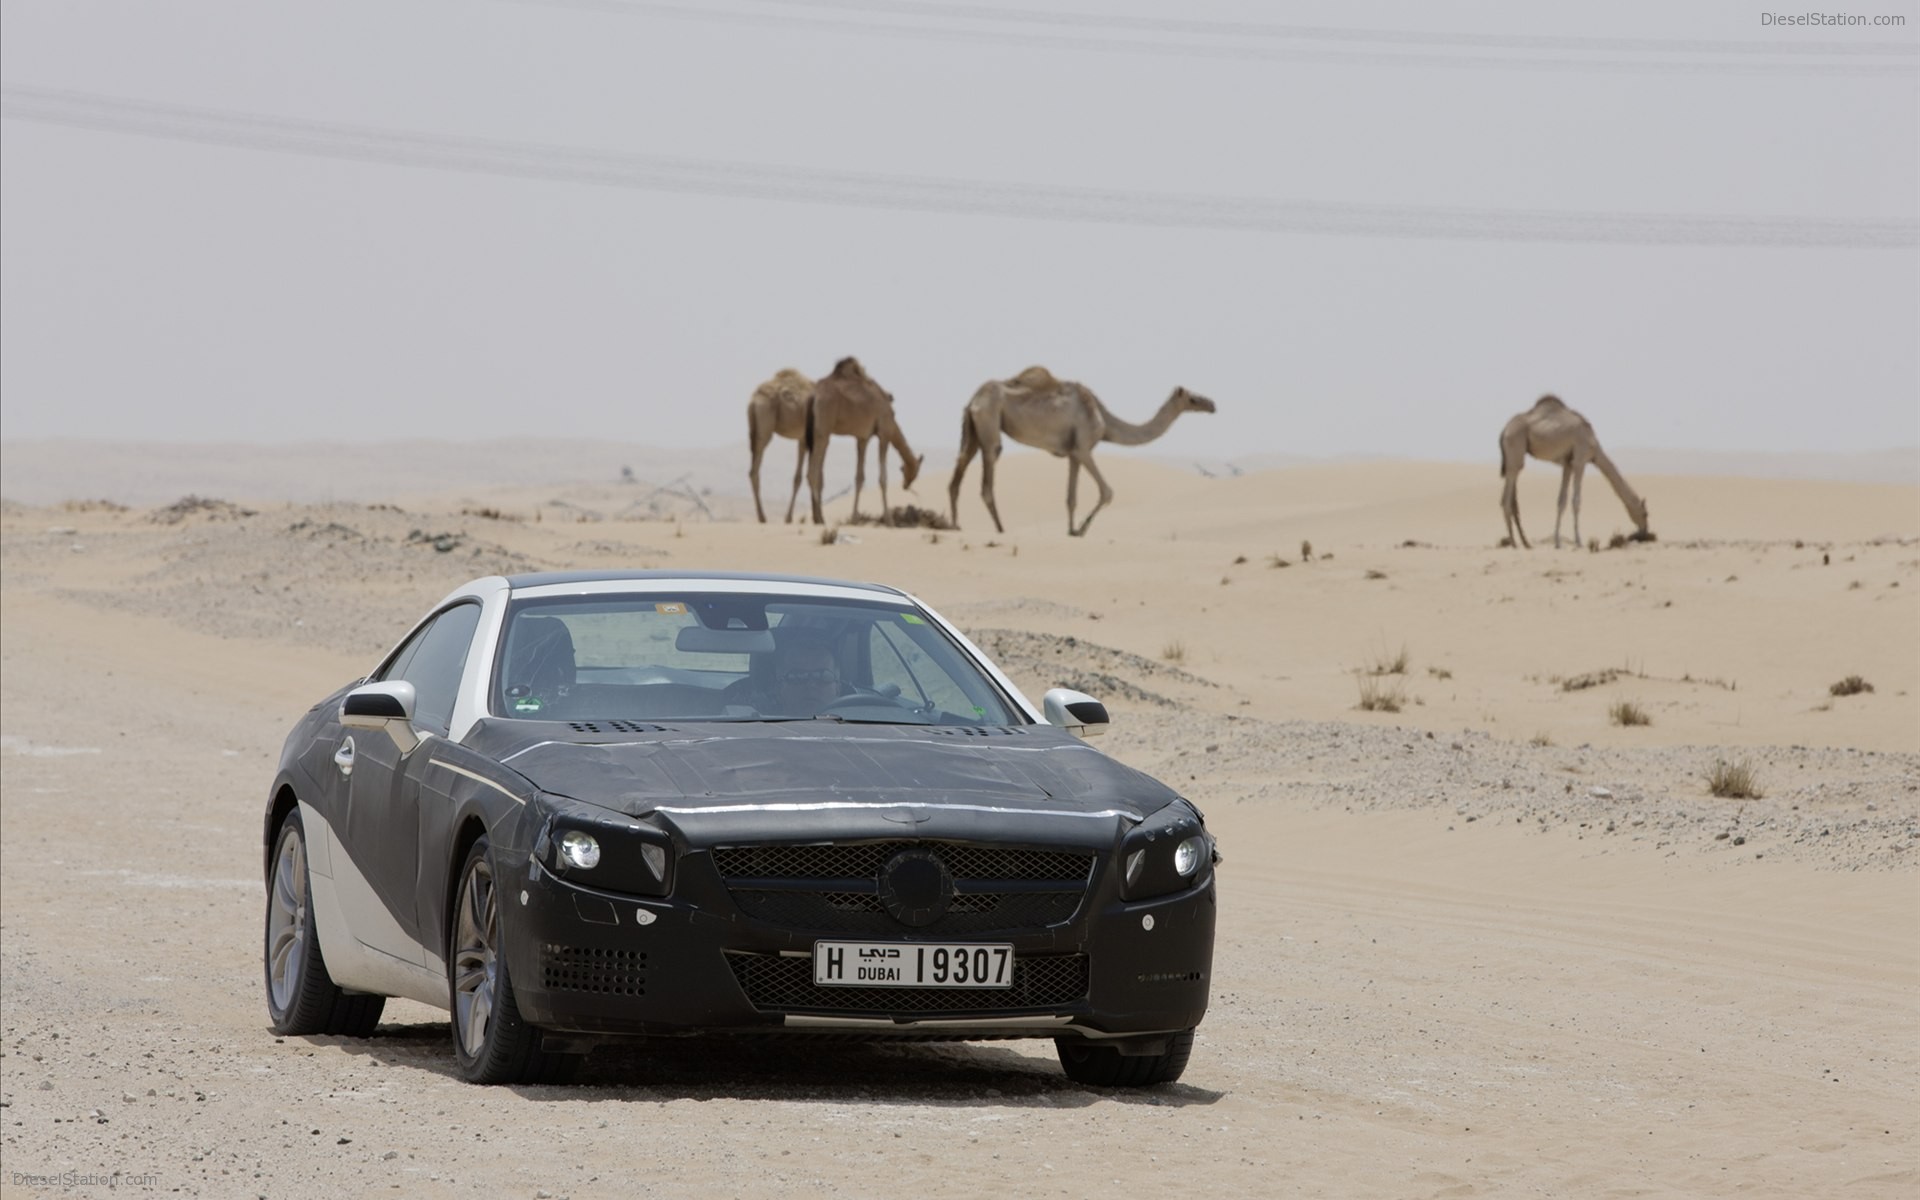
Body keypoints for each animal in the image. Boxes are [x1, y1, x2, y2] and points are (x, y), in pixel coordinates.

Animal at [744, 366, 814, 522]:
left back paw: (761, 517)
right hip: (764, 427)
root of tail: (753, 399)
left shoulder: (802, 439)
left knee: (753, 470)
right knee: (754, 469)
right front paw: (789, 518)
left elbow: (800, 477)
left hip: (753, 430)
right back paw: (763, 517)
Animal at [806, 355, 925, 522]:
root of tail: (814, 394)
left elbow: (859, 477)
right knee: (813, 471)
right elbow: (883, 478)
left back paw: (818, 517)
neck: (893, 422)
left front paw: (855, 518)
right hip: (823, 427)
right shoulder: (884, 433)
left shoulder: (863, 438)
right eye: (915, 471)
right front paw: (889, 519)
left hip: (815, 430)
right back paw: (820, 519)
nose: (905, 485)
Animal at [944, 362, 1213, 537]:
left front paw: (1071, 529)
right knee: (988, 473)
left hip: (973, 428)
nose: (1212, 404)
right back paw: (1000, 529)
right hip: (989, 419)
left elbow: (1071, 498)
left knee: (960, 467)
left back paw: (955, 525)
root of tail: (973, 400)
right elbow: (1107, 492)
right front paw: (1081, 530)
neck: (1105, 421)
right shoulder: (1084, 448)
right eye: (1192, 399)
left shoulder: (1072, 453)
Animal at [1497, 393, 1651, 549]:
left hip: (1514, 456)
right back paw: (1514, 543)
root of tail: (1504, 431)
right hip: (1515, 448)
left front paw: (1557, 542)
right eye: (1645, 513)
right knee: (1506, 499)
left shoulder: (1568, 464)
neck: (1594, 447)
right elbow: (1576, 501)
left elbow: (1562, 501)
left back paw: (1525, 543)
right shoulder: (1580, 460)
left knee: (1512, 500)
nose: (1645, 532)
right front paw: (1578, 541)